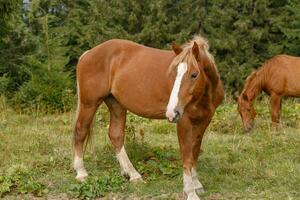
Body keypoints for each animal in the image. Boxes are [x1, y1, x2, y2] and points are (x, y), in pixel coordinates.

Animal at [73, 35, 223, 199]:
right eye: (173, 74)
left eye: (194, 74)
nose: (172, 112)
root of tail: (88, 54)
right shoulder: (184, 122)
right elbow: (187, 155)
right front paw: (190, 192)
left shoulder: (204, 120)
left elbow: (194, 152)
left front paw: (196, 185)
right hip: (89, 104)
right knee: (80, 132)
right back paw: (81, 173)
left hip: (116, 105)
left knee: (116, 135)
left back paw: (133, 174)